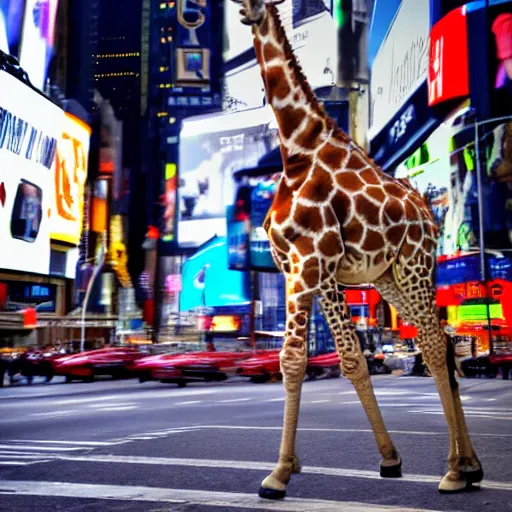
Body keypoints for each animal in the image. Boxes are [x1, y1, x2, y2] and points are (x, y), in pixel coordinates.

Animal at [232, 0, 484, 500]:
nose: (247, 13)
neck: (296, 148)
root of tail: (428, 216)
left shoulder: (307, 263)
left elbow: (293, 358)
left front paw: (278, 475)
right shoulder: (311, 270)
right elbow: (349, 357)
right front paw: (388, 459)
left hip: (413, 264)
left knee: (431, 343)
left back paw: (452, 471)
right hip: (387, 279)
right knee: (443, 342)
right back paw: (471, 465)